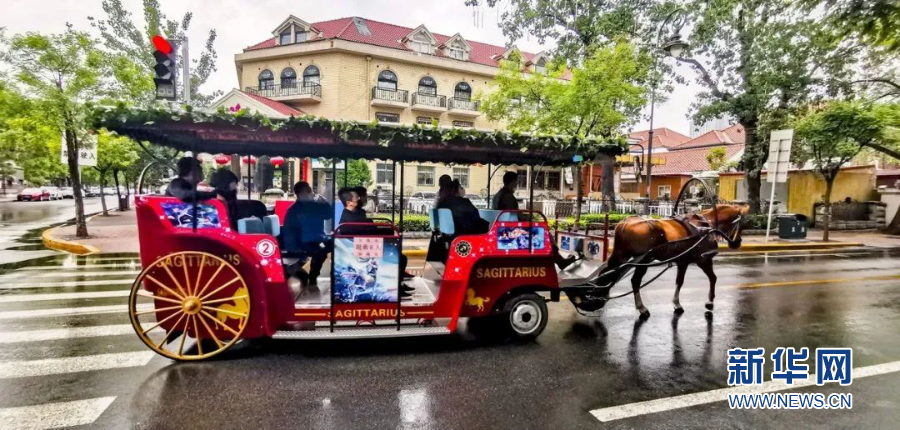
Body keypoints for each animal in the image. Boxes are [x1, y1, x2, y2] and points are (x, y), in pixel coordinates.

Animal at [600, 203, 748, 318]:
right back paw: (642, 308)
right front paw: (709, 302)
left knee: (607, 272)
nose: (738, 242)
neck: (706, 225)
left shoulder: (682, 262)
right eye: (742, 225)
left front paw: (677, 303)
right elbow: (712, 278)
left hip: (621, 255)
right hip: (643, 261)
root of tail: (624, 223)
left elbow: (679, 281)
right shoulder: (703, 260)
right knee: (635, 281)